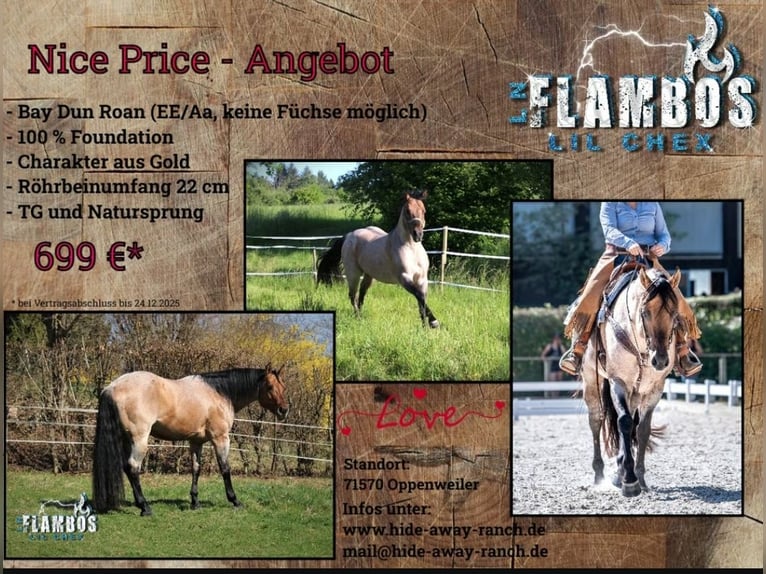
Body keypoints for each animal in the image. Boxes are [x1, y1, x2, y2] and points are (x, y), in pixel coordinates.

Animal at [92, 365, 289, 516]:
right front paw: (235, 501)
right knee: (133, 468)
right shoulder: (220, 438)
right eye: (269, 386)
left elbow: (196, 469)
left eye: (283, 386)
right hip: (140, 440)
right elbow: (225, 469)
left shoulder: (196, 442)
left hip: (127, 439)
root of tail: (111, 387)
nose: (284, 410)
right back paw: (145, 507)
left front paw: (195, 502)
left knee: (127, 468)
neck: (219, 393)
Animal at [316, 191, 439, 328]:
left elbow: (421, 301)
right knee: (353, 295)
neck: (411, 249)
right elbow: (420, 296)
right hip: (353, 274)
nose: (418, 235)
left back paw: (361, 317)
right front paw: (433, 322)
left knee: (362, 294)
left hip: (369, 275)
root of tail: (349, 235)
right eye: (407, 210)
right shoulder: (404, 278)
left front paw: (425, 326)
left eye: (424, 211)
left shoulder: (422, 279)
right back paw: (358, 318)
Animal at [580, 261, 681, 497]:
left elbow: (642, 429)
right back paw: (599, 475)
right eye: (645, 312)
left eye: (674, 314)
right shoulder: (619, 382)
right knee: (596, 420)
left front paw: (639, 478)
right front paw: (630, 481)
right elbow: (625, 422)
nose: (660, 360)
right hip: (591, 381)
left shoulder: (655, 389)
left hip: (636, 392)